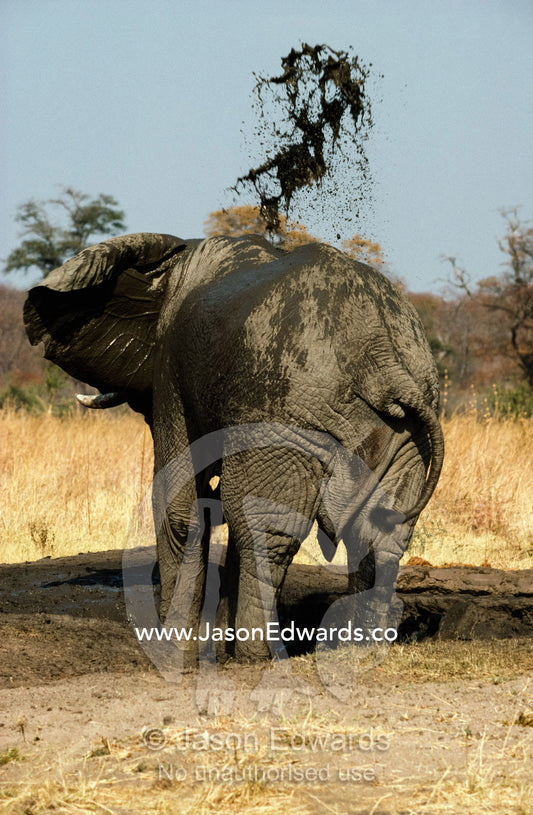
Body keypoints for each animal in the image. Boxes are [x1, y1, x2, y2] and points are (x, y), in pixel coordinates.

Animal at [24, 232, 444, 662]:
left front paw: (175, 644)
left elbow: (180, 504)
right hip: (406, 431)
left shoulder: (171, 370)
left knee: (266, 528)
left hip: (283, 416)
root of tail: (383, 355)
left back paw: (255, 656)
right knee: (380, 533)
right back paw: (357, 651)